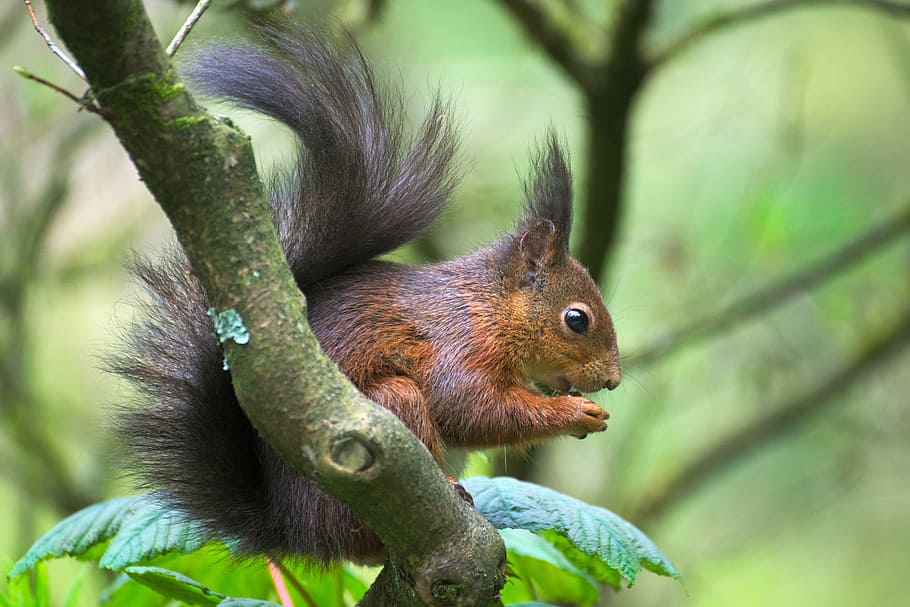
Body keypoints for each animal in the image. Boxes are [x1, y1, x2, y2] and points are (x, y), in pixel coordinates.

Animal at [111, 23, 621, 566]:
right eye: (577, 319)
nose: (612, 380)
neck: (489, 306)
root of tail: (297, 531)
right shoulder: (457, 343)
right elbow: (470, 409)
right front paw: (577, 413)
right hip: (387, 415)